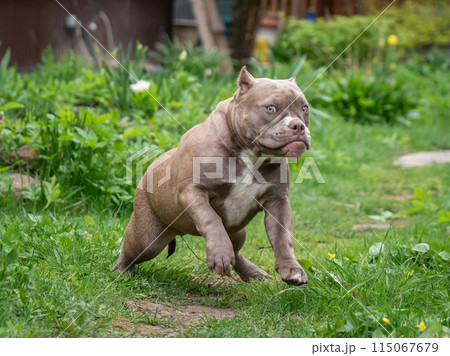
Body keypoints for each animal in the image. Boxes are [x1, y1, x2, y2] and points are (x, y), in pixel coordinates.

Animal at [112, 65, 312, 286]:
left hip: (237, 231)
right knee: (131, 250)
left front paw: (292, 269)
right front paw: (219, 255)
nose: (298, 126)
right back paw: (121, 271)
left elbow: (283, 237)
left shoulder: (277, 201)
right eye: (271, 108)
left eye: (304, 108)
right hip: (147, 238)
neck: (250, 154)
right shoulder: (193, 191)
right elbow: (210, 218)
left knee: (236, 250)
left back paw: (252, 272)